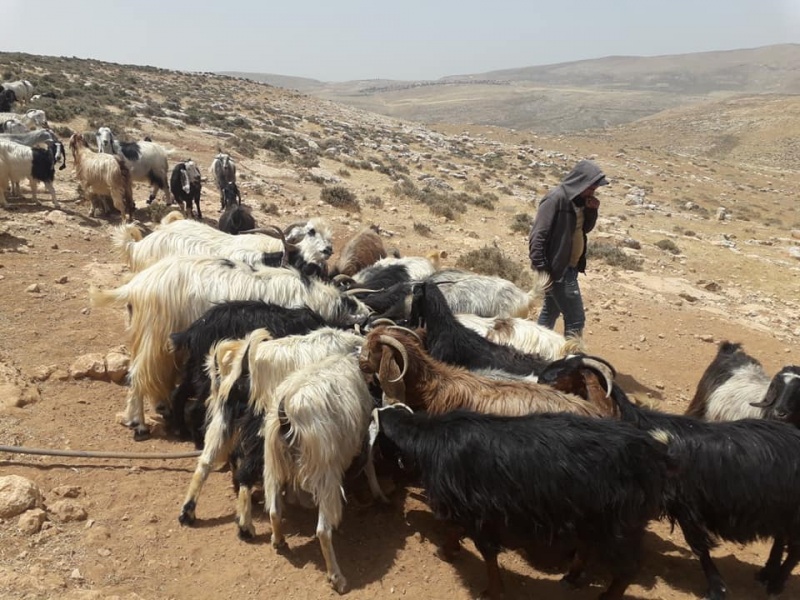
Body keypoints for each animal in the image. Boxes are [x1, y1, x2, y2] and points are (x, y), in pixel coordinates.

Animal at [169, 300, 328, 446]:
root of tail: (193, 330)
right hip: (208, 376)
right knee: (195, 407)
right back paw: (198, 442)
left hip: (194, 368)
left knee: (178, 395)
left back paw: (181, 431)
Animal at [372, 404, 672, 600]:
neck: (432, 440)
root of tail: (654, 452)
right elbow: (456, 530)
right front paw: (448, 551)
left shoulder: (480, 514)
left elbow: (486, 553)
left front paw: (491, 591)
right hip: (592, 518)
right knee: (587, 548)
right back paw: (571, 579)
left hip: (621, 526)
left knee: (627, 568)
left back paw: (607, 597)